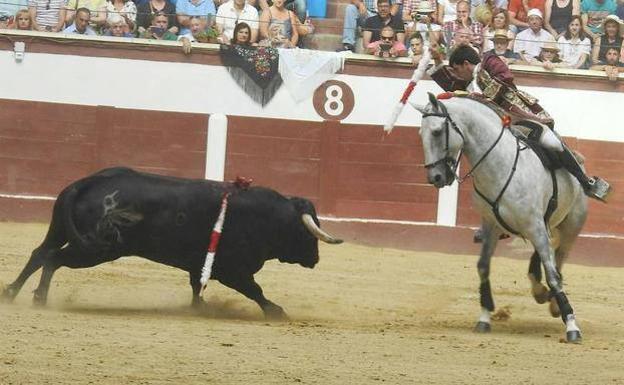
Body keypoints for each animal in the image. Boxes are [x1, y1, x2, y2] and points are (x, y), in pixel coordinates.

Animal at [1, 166, 342, 316]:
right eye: (306, 233)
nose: (316, 259)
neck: (270, 218)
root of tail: (88, 182)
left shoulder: (200, 265)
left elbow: (196, 286)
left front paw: (199, 307)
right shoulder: (233, 271)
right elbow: (254, 290)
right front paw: (276, 310)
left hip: (61, 230)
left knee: (39, 253)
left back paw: (11, 292)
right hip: (96, 249)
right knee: (53, 259)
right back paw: (39, 298)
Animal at [412, 93, 588, 342]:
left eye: (436, 131)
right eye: (421, 133)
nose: (435, 177)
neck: (499, 166)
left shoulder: (535, 225)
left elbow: (552, 274)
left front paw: (572, 326)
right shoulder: (492, 226)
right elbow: (483, 266)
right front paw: (484, 317)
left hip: (570, 226)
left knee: (558, 261)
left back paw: (553, 303)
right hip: (544, 226)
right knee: (544, 260)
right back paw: (540, 291)